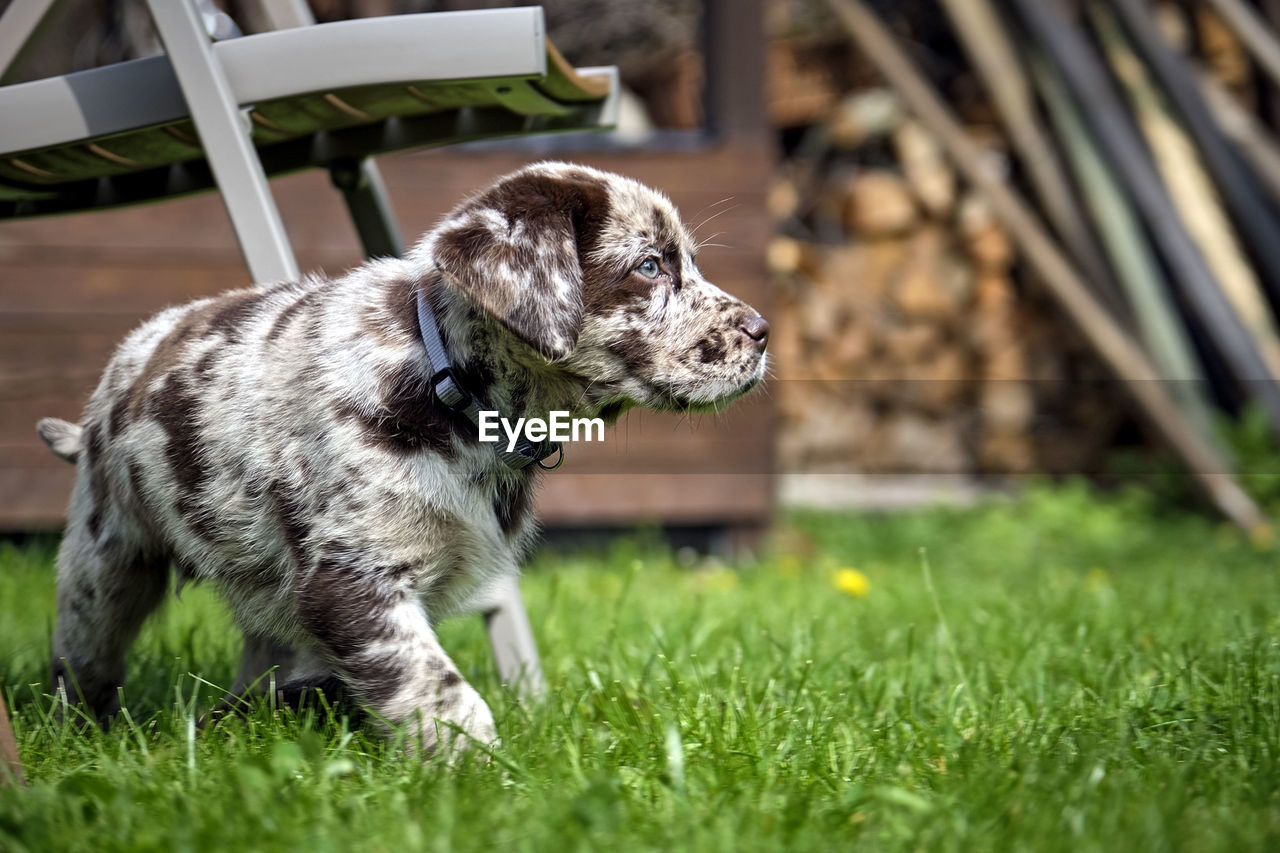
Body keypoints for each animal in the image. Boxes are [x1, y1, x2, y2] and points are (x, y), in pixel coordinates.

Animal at [37, 161, 768, 753]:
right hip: (105, 560)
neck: (452, 394)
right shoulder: (351, 577)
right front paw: (483, 774)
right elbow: (438, 685)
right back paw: (80, 736)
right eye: (650, 267)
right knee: (82, 660)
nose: (763, 332)